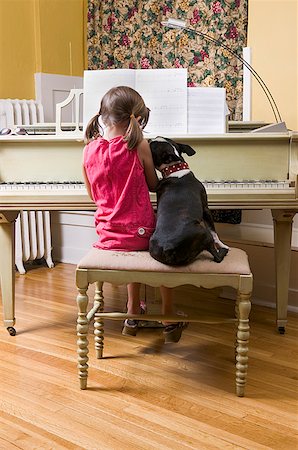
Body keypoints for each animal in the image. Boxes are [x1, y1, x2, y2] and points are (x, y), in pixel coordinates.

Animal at [148, 135, 228, 266]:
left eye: (152, 145)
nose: (148, 139)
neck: (175, 169)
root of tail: (167, 248)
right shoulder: (206, 209)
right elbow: (214, 232)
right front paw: (222, 244)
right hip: (203, 232)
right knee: (216, 257)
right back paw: (223, 251)